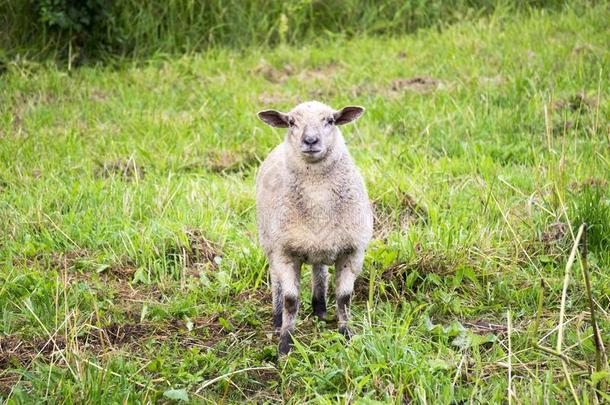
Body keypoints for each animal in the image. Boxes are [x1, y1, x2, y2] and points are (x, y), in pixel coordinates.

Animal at [253, 100, 370, 354]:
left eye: (330, 120)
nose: (310, 141)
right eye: (291, 122)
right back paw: (277, 319)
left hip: (321, 245)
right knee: (276, 279)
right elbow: (291, 300)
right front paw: (285, 344)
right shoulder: (284, 252)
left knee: (319, 270)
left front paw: (347, 335)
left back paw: (320, 309)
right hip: (269, 242)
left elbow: (344, 298)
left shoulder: (352, 251)